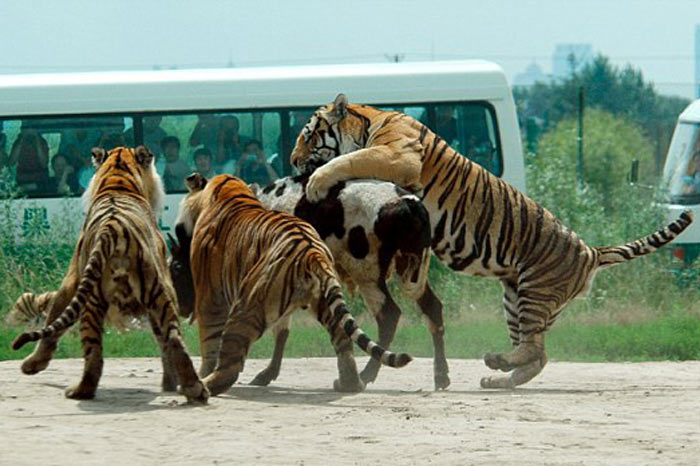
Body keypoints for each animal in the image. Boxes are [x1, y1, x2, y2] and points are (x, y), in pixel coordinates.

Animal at [10, 147, 208, 402]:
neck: (118, 180)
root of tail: (113, 230)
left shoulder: (72, 279)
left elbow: (53, 318)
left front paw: (33, 364)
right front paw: (170, 383)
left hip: (97, 301)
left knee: (93, 352)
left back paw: (80, 390)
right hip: (159, 293)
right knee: (173, 338)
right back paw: (195, 389)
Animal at [169, 173, 410, 396]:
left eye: (175, 269)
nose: (181, 307)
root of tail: (313, 253)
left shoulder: (210, 298)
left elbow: (210, 343)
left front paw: (204, 372)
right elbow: (281, 332)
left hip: (248, 305)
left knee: (230, 363)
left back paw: (200, 385)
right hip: (327, 301)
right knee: (344, 341)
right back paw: (349, 383)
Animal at [290, 92, 696, 390]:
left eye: (308, 134)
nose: (293, 161)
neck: (371, 120)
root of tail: (590, 251)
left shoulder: (395, 156)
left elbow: (346, 161)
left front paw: (316, 183)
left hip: (533, 293)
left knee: (533, 348)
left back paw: (496, 363)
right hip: (515, 299)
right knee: (538, 354)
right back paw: (498, 377)